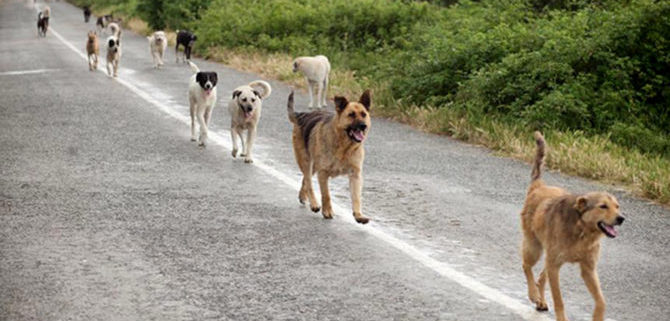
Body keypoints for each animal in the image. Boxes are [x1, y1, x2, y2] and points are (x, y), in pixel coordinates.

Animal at [288, 87, 376, 222]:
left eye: (364, 114)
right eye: (351, 115)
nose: (363, 126)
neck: (344, 147)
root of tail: (302, 115)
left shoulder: (355, 174)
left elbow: (356, 197)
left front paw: (358, 215)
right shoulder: (323, 173)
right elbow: (326, 195)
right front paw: (327, 211)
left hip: (314, 166)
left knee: (305, 180)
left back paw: (303, 196)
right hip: (306, 162)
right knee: (308, 182)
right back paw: (314, 203)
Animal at [524, 131, 628, 320]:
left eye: (617, 206)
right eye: (603, 206)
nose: (621, 218)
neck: (582, 231)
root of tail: (538, 186)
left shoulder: (588, 269)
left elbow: (601, 301)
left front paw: (598, 316)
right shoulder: (555, 265)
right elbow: (559, 300)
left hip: (548, 256)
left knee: (541, 277)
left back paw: (540, 300)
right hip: (534, 247)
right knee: (526, 266)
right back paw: (533, 294)